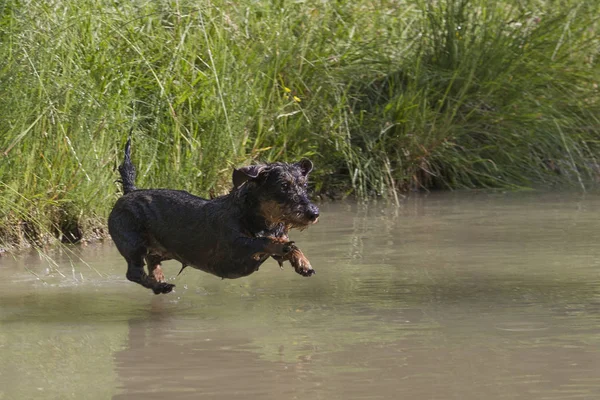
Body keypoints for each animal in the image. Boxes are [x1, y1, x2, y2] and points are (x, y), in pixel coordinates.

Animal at [108, 141, 318, 294]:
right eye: (283, 186)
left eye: (304, 185)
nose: (314, 213)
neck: (254, 217)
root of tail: (129, 191)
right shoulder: (235, 246)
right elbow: (264, 241)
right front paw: (283, 246)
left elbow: (288, 245)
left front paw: (303, 263)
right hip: (133, 244)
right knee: (134, 273)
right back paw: (161, 286)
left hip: (160, 249)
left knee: (152, 262)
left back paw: (159, 279)